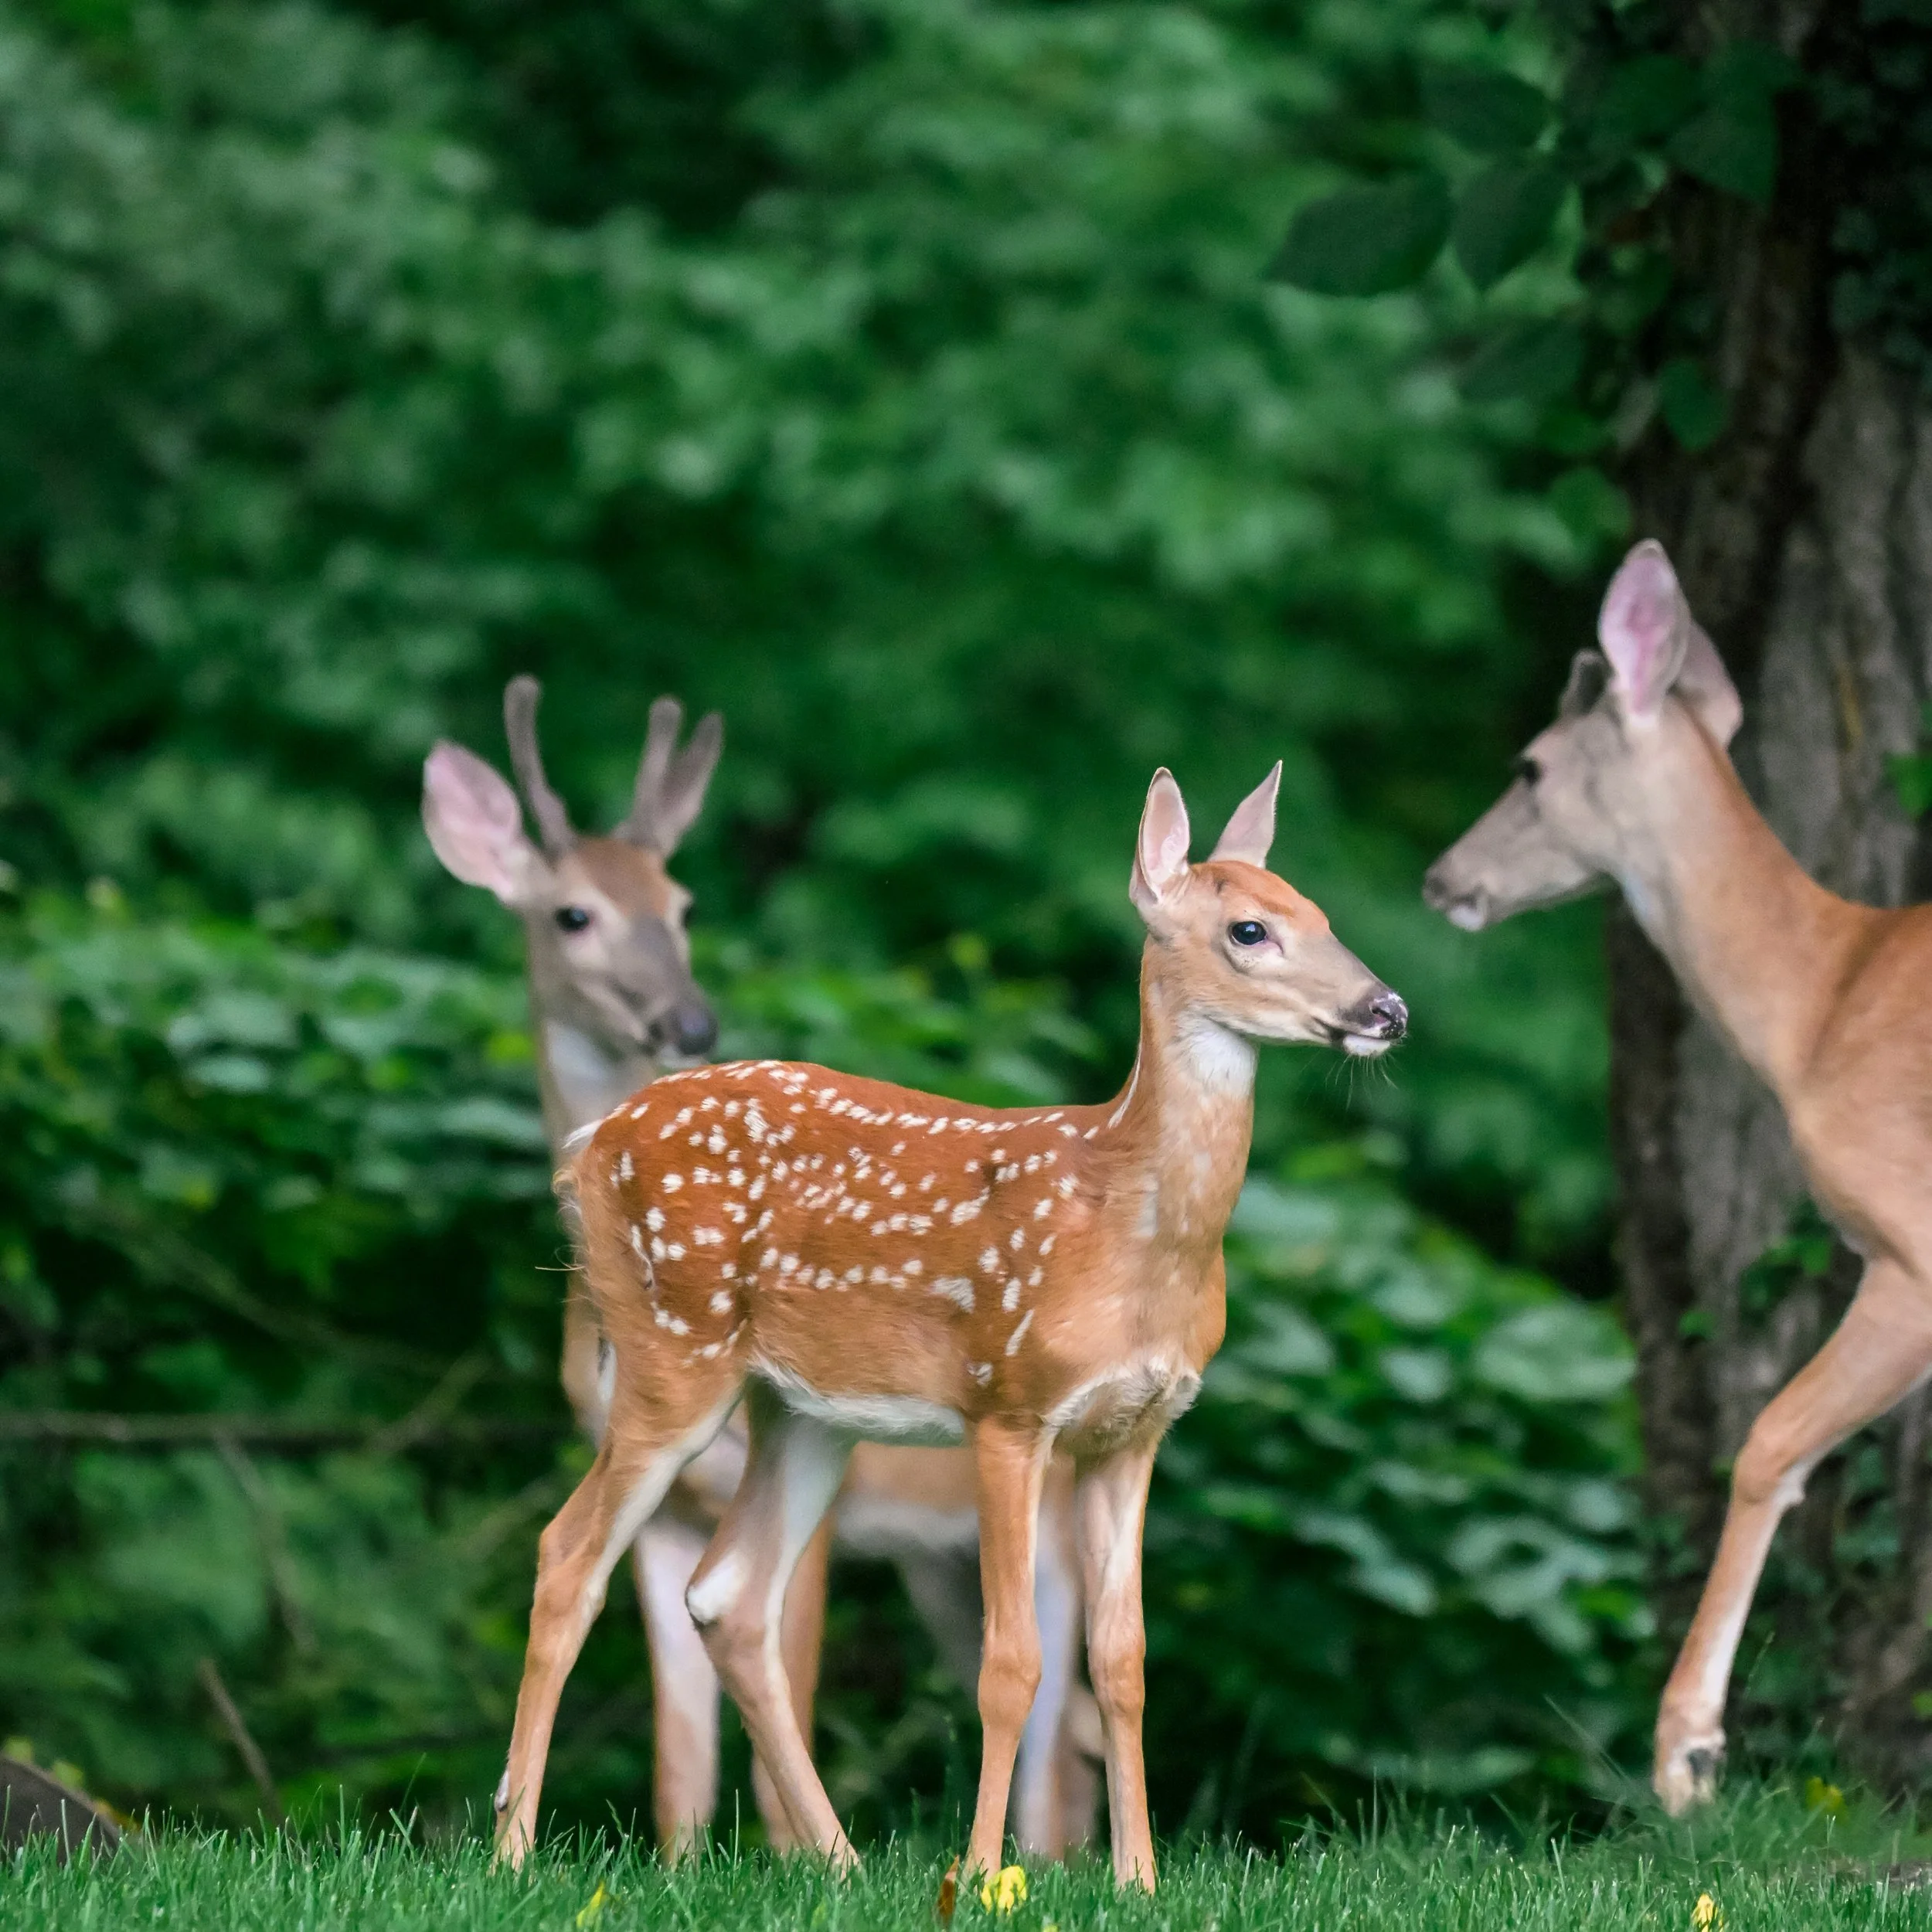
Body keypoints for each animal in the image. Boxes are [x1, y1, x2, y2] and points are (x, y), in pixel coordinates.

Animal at [422, 678, 1099, 1858]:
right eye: (570, 914)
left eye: (684, 904)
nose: (689, 1021)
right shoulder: (677, 1512)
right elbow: (679, 1766)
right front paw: (682, 1865)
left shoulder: (825, 1503)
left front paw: (793, 1856)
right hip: (937, 1559)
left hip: (1044, 1514)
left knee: (1063, 1749)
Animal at [490, 761, 1408, 1888]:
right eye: (1249, 929)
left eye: (1319, 914)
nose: (1385, 1009)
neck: (1130, 1226)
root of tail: (588, 1146)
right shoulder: (1007, 1403)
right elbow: (1010, 1664)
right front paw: (978, 1879)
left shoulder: (1135, 1431)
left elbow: (1124, 1661)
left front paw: (1138, 1880)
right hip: (675, 1348)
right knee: (568, 1556)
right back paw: (512, 1852)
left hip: (805, 1413)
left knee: (732, 1599)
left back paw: (838, 1863)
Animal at [1424, 537, 1932, 1814]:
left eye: (1531, 763)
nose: (1441, 877)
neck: (1820, 1005)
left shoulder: (1911, 1244)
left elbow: (1770, 1443)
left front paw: (1687, 1754)